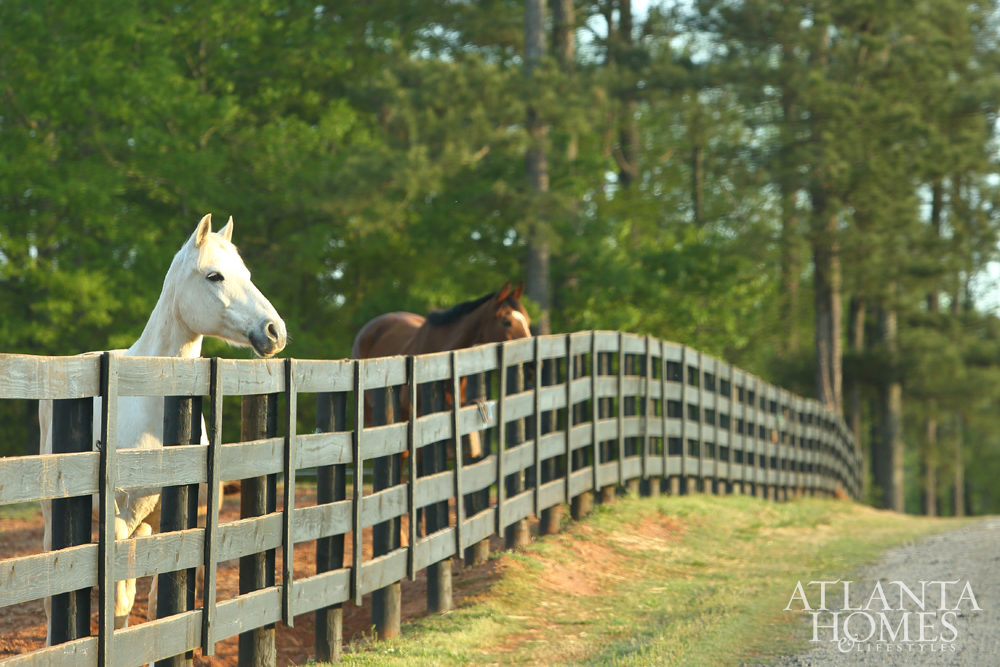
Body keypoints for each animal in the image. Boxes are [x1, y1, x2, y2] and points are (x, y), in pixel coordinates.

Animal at [39, 214, 288, 640]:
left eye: (247, 274)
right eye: (214, 276)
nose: (274, 331)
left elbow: (160, 601)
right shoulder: (121, 520)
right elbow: (117, 600)